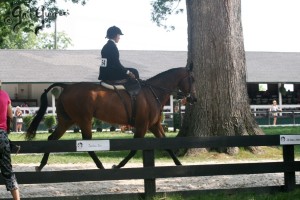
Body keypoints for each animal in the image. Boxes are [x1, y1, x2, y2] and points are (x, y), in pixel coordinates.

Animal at [26, 66, 197, 171]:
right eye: (193, 79)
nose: (194, 99)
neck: (153, 92)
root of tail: (67, 87)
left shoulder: (154, 125)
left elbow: (167, 145)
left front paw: (180, 165)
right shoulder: (143, 125)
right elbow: (134, 149)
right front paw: (118, 166)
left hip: (67, 120)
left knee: (52, 139)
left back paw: (41, 165)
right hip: (83, 120)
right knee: (86, 143)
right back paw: (101, 166)